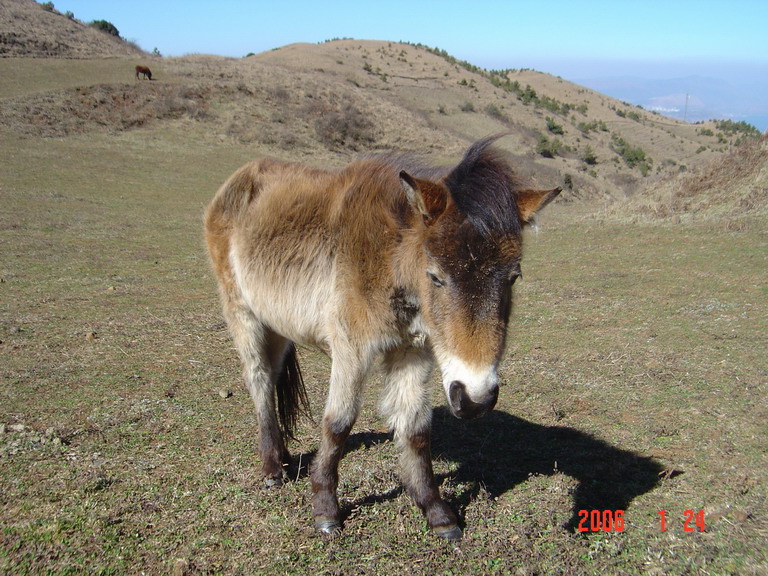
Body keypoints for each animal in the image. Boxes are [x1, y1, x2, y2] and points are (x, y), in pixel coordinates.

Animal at [204, 135, 560, 540]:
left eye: (513, 277)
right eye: (435, 276)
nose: (475, 399)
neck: (387, 257)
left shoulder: (414, 352)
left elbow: (416, 429)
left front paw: (437, 512)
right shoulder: (350, 349)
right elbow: (338, 423)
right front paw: (326, 509)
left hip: (276, 323)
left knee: (273, 374)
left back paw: (281, 457)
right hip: (242, 313)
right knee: (259, 379)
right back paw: (271, 470)